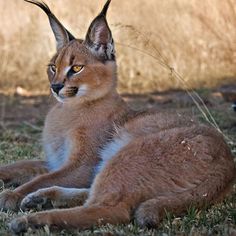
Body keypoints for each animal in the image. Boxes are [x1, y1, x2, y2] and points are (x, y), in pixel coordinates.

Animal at [0, 0, 235, 233]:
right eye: (52, 67)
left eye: (76, 68)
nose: (55, 86)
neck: (69, 109)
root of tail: (227, 162)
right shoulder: (57, 161)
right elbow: (23, 166)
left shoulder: (82, 166)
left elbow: (39, 179)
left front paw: (11, 195)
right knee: (96, 196)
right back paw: (42, 199)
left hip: (131, 153)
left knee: (110, 209)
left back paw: (31, 220)